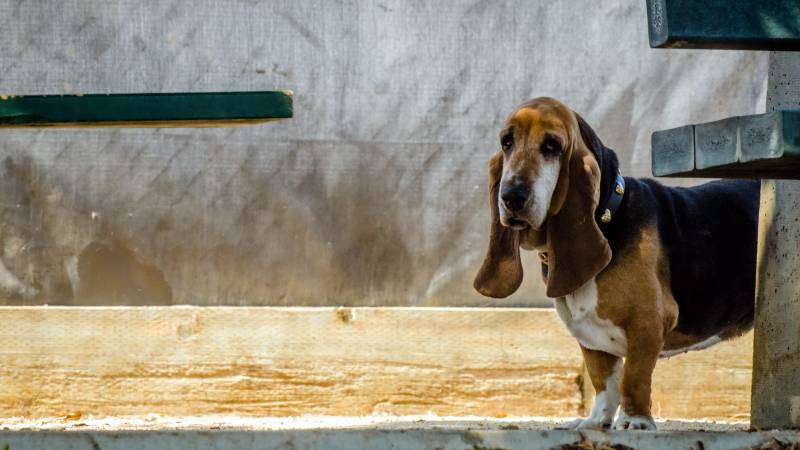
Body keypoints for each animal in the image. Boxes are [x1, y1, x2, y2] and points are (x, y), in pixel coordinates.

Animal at [476, 97, 764, 428]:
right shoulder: (590, 339)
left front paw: (634, 421)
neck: (607, 216)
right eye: (506, 142)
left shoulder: (648, 323)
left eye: (552, 146)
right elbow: (605, 382)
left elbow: (633, 377)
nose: (511, 196)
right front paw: (595, 422)